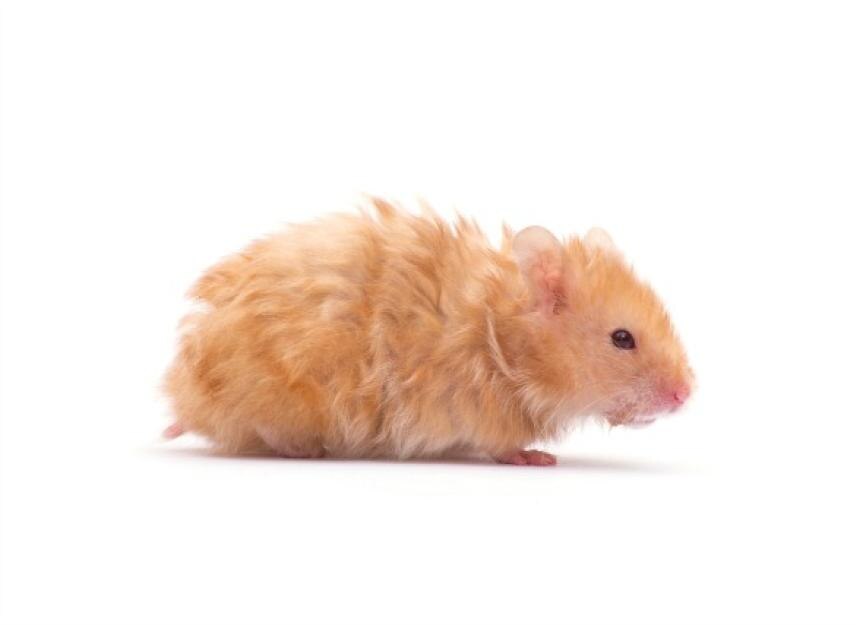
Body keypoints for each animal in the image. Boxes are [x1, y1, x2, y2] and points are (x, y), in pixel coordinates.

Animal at [163, 198, 693, 465]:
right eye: (622, 338)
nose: (687, 395)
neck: (501, 335)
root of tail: (187, 392)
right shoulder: (479, 410)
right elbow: (503, 447)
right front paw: (537, 457)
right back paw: (310, 449)